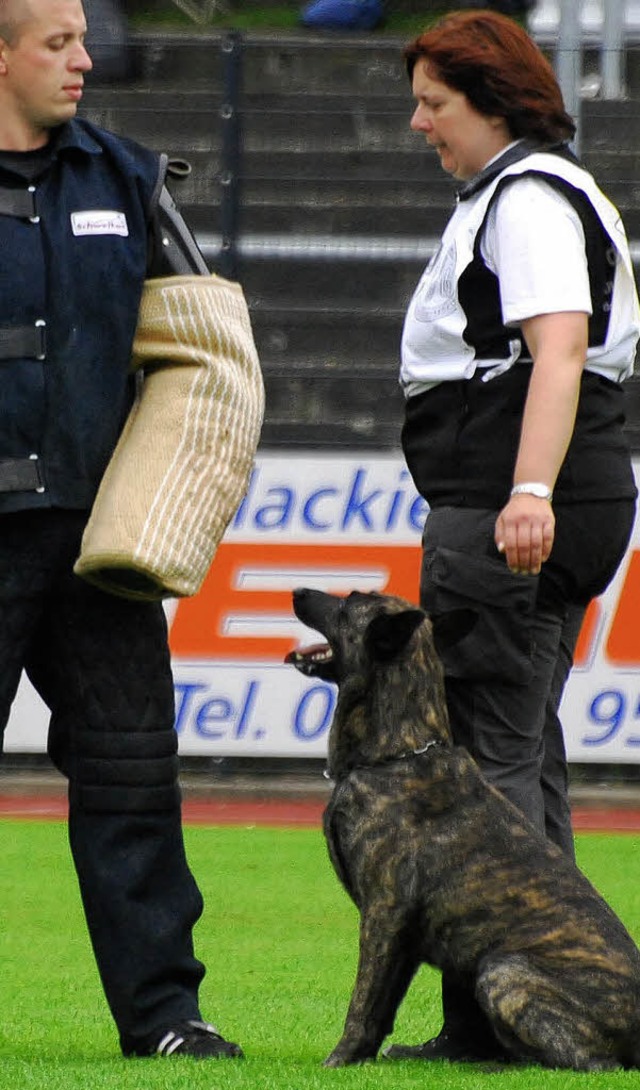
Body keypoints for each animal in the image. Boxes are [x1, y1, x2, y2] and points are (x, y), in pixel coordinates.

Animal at [287, 592, 640, 1068]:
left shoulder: (383, 914)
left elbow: (362, 1004)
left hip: (502, 970)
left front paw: (339, 1061)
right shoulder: (402, 939)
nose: (298, 593)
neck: (399, 754)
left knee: (589, 1063)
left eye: (349, 604)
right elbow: (381, 1009)